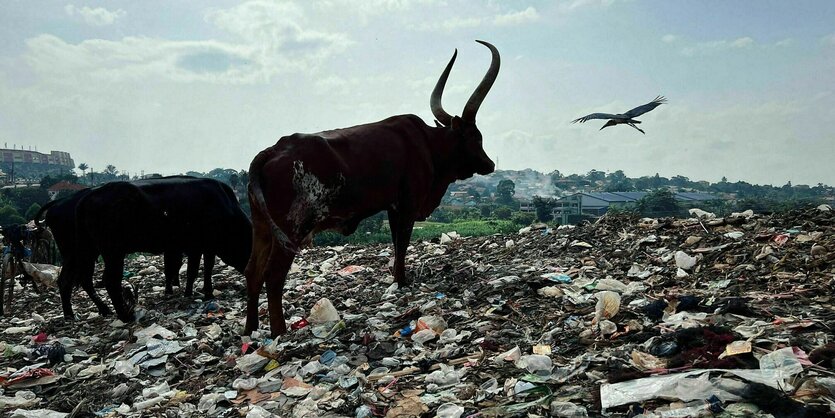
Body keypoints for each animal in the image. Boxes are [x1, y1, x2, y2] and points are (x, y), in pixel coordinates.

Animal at [245, 40, 500, 336]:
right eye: (476, 137)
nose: (490, 164)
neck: (429, 144)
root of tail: (272, 150)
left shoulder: (392, 207)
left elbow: (396, 244)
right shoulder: (408, 203)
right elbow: (402, 244)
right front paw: (401, 282)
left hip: (263, 227)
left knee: (252, 272)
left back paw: (250, 330)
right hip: (292, 228)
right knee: (273, 276)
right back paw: (279, 332)